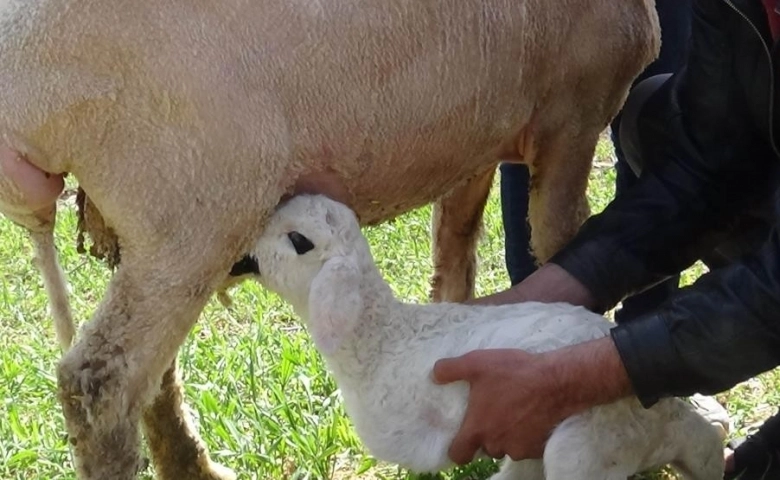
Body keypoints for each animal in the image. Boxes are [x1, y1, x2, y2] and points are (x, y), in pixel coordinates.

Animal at [0, 0, 660, 480]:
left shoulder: (475, 138)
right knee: (100, 385)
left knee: (152, 376)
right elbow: (559, 240)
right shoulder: (573, 114)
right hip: (193, 200)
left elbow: (454, 254)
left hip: (161, 219)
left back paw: (196, 471)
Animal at [244, 195, 724, 480]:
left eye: (298, 240)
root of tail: (656, 409)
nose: (243, 252)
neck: (380, 336)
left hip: (583, 446)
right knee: (702, 441)